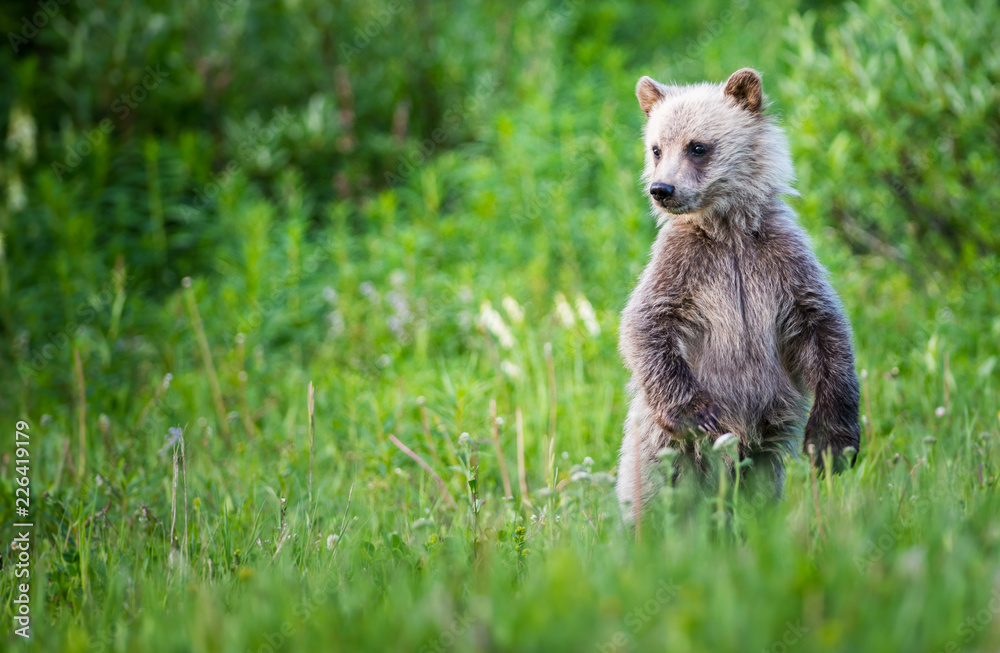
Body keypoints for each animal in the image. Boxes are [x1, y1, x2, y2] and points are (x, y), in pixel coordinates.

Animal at [615, 68, 861, 521]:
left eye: (698, 146)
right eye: (656, 148)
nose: (662, 189)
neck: (728, 230)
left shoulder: (780, 261)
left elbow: (823, 329)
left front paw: (832, 442)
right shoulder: (684, 266)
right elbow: (647, 322)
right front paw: (698, 412)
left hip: (764, 443)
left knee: (758, 485)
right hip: (659, 448)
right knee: (658, 490)